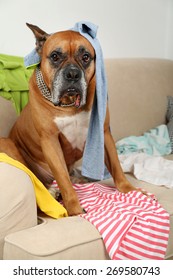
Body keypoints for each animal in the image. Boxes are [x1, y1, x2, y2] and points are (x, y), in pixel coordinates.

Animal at [0, 24, 138, 217]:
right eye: (55, 56)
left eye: (86, 57)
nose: (72, 73)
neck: (69, 104)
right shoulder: (50, 142)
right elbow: (63, 180)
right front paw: (74, 210)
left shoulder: (103, 132)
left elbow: (116, 166)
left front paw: (130, 190)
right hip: (8, 144)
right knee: (37, 181)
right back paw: (52, 192)